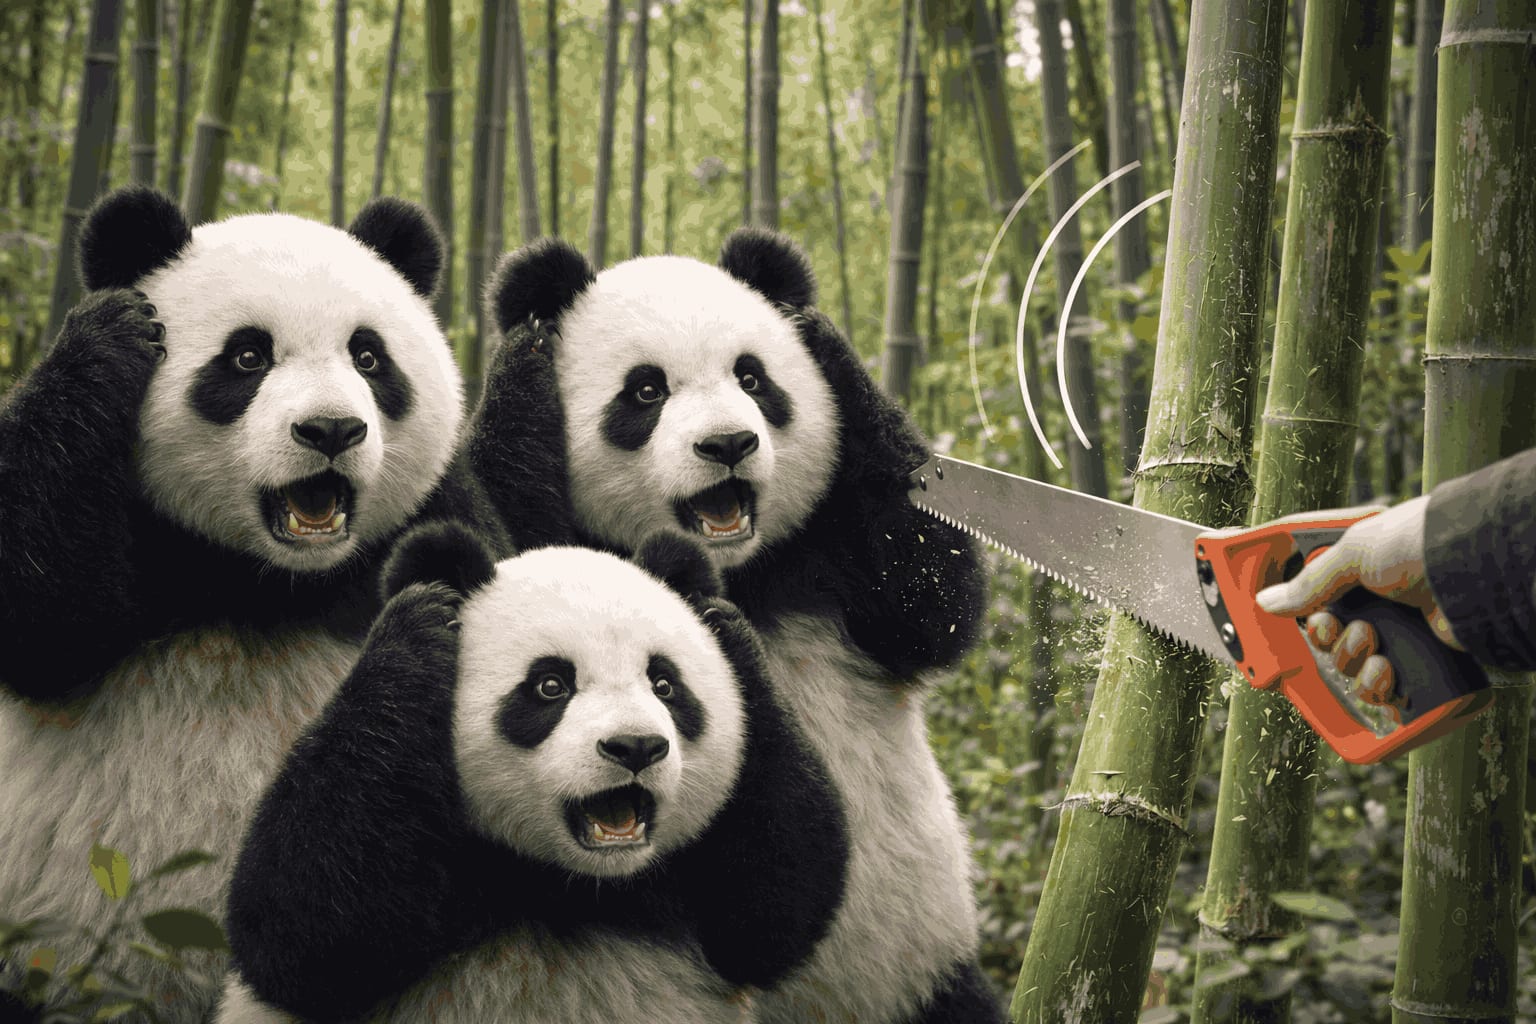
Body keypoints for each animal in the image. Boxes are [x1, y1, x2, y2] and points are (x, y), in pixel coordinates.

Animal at [0, 186, 515, 1021]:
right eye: (248, 357)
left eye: (368, 357)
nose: (331, 429)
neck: (274, 579)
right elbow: (43, 617)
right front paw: (113, 330)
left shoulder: (442, 516)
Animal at [213, 523, 849, 1024]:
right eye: (550, 685)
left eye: (666, 685)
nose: (636, 747)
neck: (570, 889)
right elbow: (305, 928)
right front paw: (423, 618)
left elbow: (774, 909)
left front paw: (724, 623)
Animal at [470, 231, 1000, 1024]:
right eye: (647, 391)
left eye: (753, 379)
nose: (727, 444)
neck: (737, 572)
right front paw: (527, 355)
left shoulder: (828, 558)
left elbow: (933, 598)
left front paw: (818, 333)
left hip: (922, 970)